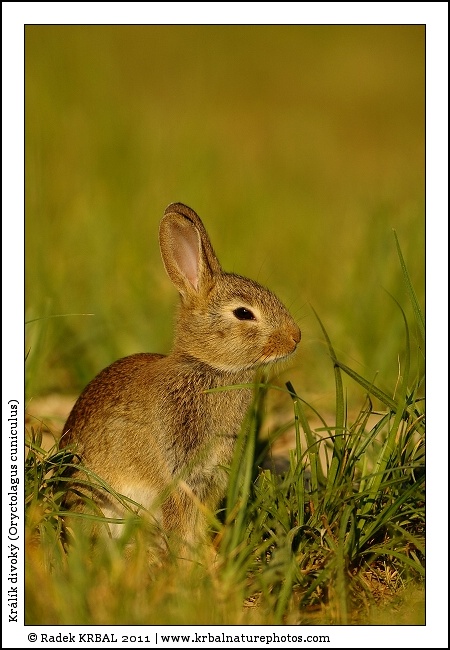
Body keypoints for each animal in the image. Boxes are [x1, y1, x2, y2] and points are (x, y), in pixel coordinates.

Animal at [60, 202, 300, 553]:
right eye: (243, 313)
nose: (296, 338)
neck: (208, 368)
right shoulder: (178, 469)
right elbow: (181, 517)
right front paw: (191, 558)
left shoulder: (211, 475)